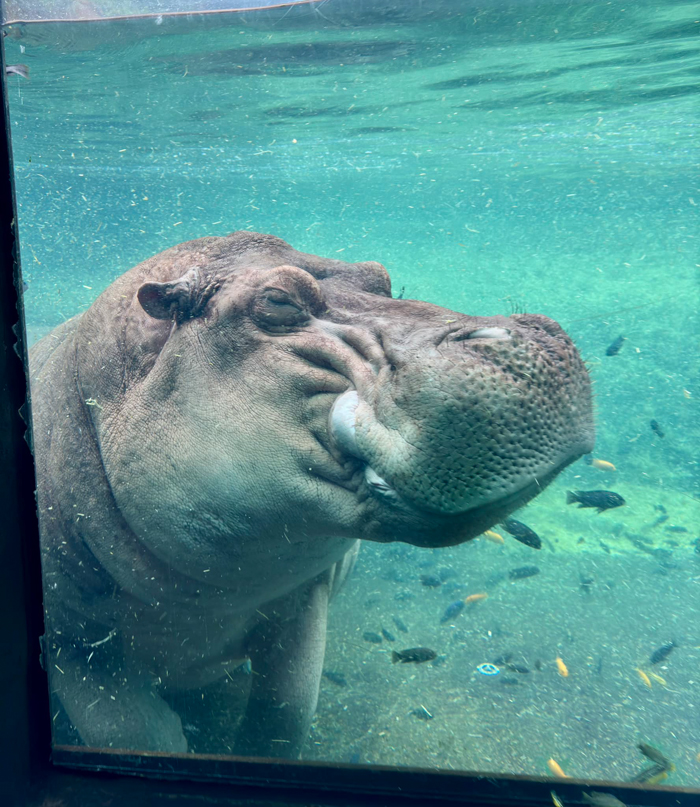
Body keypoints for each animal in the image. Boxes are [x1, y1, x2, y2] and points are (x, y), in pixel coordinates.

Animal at [30, 231, 594, 758]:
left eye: (381, 274)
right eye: (278, 300)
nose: (533, 336)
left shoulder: (302, 601)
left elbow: (283, 717)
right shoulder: (76, 649)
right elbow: (136, 736)